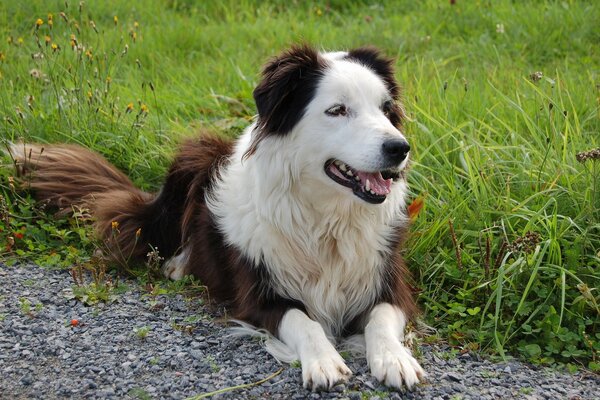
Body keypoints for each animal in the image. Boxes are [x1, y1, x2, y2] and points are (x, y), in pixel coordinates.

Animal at [7, 44, 424, 390]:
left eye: (386, 110)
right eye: (337, 110)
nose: (399, 148)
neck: (327, 220)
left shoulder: (388, 280)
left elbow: (382, 318)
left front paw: (395, 359)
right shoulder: (259, 293)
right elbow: (303, 321)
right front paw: (323, 360)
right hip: (192, 156)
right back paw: (177, 264)